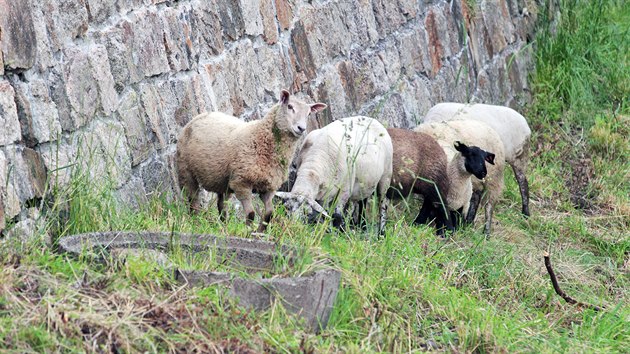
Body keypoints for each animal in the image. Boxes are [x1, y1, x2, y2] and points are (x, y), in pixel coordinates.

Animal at [177, 89, 328, 232]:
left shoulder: (268, 188)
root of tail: (200, 115)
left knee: (221, 205)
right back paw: (195, 221)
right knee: (193, 200)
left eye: (309, 114)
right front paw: (248, 231)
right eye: (290, 106)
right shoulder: (241, 183)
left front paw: (260, 232)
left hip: (223, 182)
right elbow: (250, 213)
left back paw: (223, 226)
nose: (301, 128)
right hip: (186, 172)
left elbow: (269, 214)